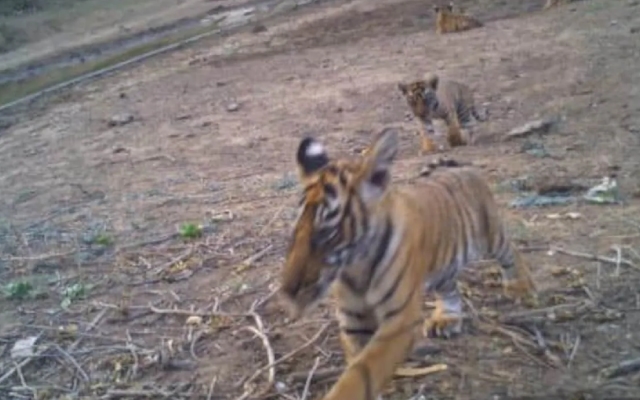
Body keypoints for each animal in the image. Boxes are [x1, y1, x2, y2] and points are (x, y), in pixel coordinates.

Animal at [279, 129, 538, 400]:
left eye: (326, 233)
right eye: (296, 232)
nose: (287, 292)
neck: (355, 266)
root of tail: (463, 168)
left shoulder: (400, 320)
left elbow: (362, 372)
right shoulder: (353, 321)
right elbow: (357, 364)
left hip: (491, 234)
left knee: (511, 252)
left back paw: (521, 288)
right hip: (445, 266)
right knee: (450, 289)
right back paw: (446, 319)